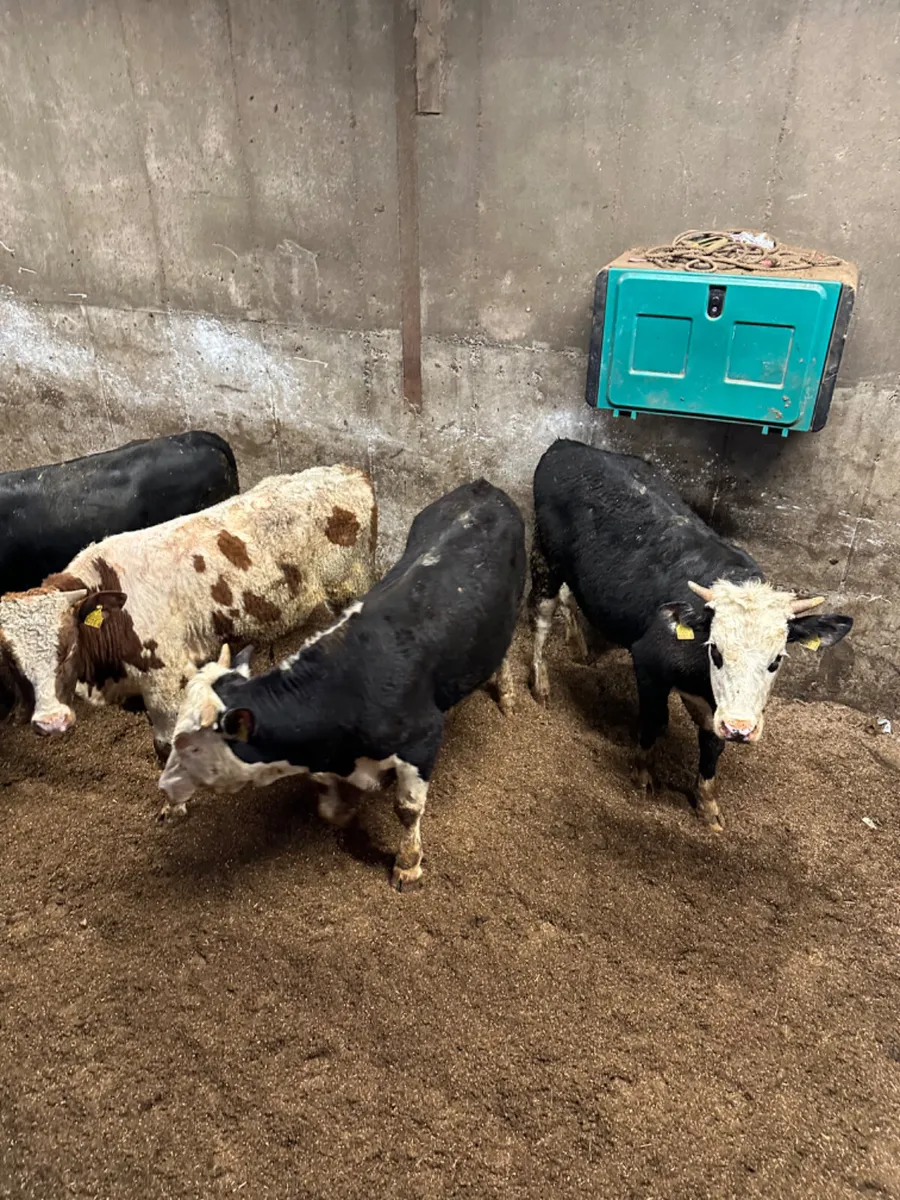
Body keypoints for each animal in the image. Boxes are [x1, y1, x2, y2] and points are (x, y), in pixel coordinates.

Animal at [0, 465, 376, 760]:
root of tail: (349, 471)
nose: (51, 722)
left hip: (351, 586)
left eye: (69, 647)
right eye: (13, 661)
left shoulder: (166, 681)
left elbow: (168, 745)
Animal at [158, 479, 526, 889]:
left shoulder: (423, 740)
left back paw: (507, 696)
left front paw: (407, 863)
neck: (345, 687)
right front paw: (346, 813)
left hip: (509, 613)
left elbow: (408, 808)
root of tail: (482, 486)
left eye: (191, 746)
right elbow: (329, 803)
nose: (164, 785)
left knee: (505, 654)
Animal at [529, 439, 852, 830]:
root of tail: (566, 445)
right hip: (546, 556)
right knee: (542, 614)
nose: (741, 728)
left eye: (776, 660)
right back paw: (541, 684)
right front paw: (643, 776)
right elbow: (655, 721)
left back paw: (579, 647)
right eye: (717, 652)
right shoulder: (648, 662)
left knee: (566, 597)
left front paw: (707, 803)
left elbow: (712, 742)